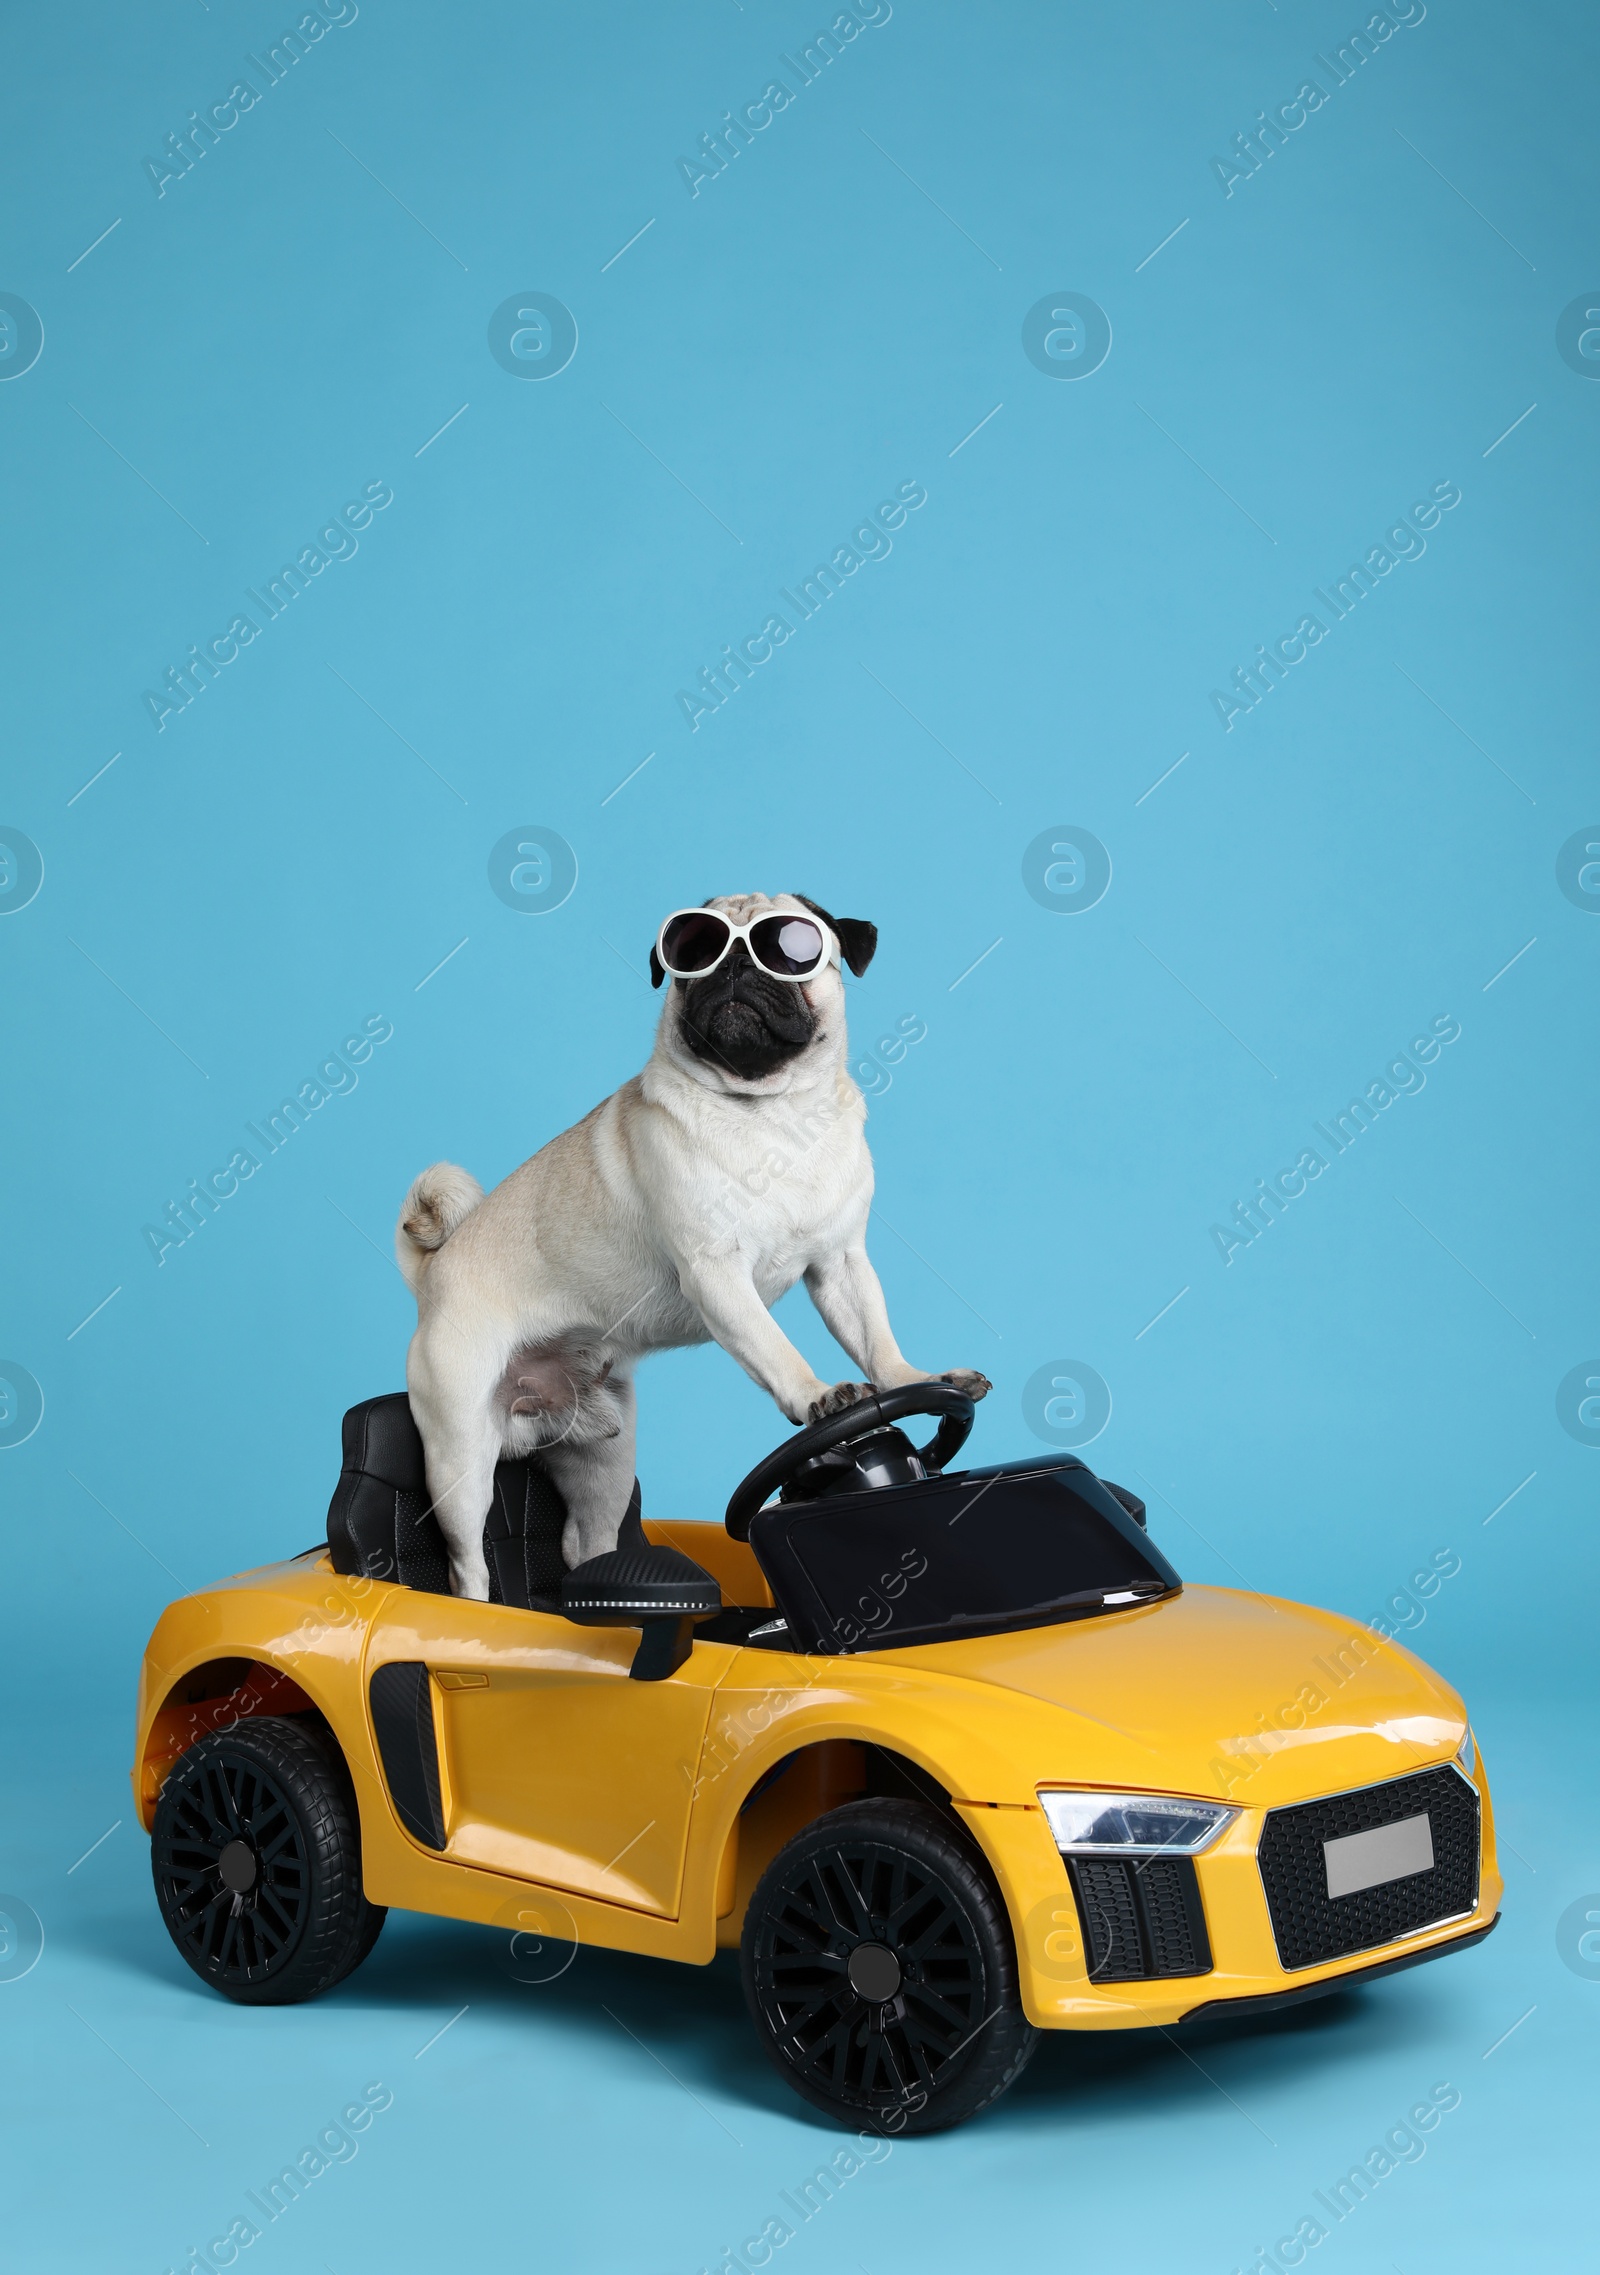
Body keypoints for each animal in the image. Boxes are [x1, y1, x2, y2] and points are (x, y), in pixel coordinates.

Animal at [393, 887, 987, 1601]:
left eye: (791, 948)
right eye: (692, 954)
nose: (731, 967)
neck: (773, 1113)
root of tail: (432, 1272)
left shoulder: (841, 1263)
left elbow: (874, 1339)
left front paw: (917, 1380)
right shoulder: (716, 1274)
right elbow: (776, 1349)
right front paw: (817, 1395)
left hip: (605, 1454)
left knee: (587, 1540)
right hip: (460, 1455)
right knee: (467, 1562)